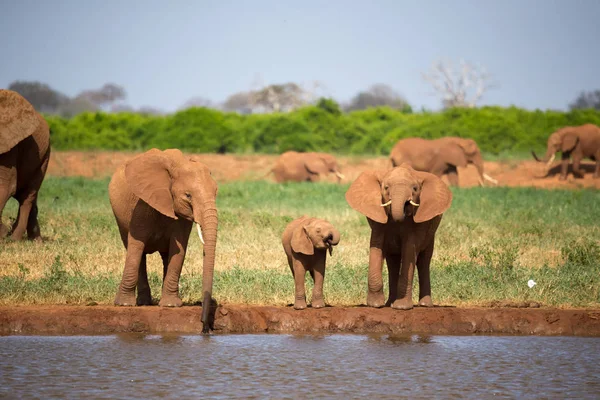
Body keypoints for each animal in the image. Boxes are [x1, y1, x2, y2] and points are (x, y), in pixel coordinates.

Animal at [0, 90, 50, 241]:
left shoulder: (9, 144)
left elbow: (5, 186)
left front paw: (4, 234)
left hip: (45, 156)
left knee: (28, 196)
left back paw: (15, 239)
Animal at [109, 148, 219, 332]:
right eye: (188, 195)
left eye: (216, 193)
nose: (205, 327)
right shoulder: (142, 203)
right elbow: (136, 245)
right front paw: (123, 305)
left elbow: (179, 248)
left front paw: (171, 306)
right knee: (136, 251)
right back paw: (142, 303)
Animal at [344, 162, 452, 310]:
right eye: (386, 188)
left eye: (415, 188)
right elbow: (376, 246)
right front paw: (375, 305)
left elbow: (410, 250)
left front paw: (401, 307)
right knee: (393, 262)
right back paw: (389, 304)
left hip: (431, 233)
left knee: (424, 261)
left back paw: (424, 305)